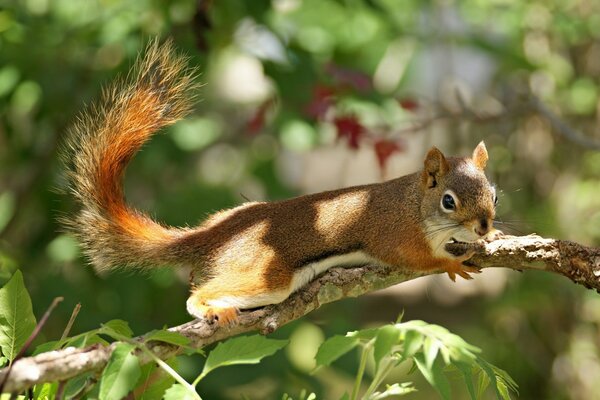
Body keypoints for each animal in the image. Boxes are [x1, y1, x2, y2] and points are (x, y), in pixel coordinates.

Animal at [62, 39, 502, 324]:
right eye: (448, 201)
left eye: (494, 195)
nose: (483, 226)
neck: (414, 203)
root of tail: (219, 233)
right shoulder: (393, 233)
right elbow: (412, 258)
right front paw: (449, 264)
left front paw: (492, 238)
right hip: (266, 272)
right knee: (205, 292)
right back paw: (210, 308)